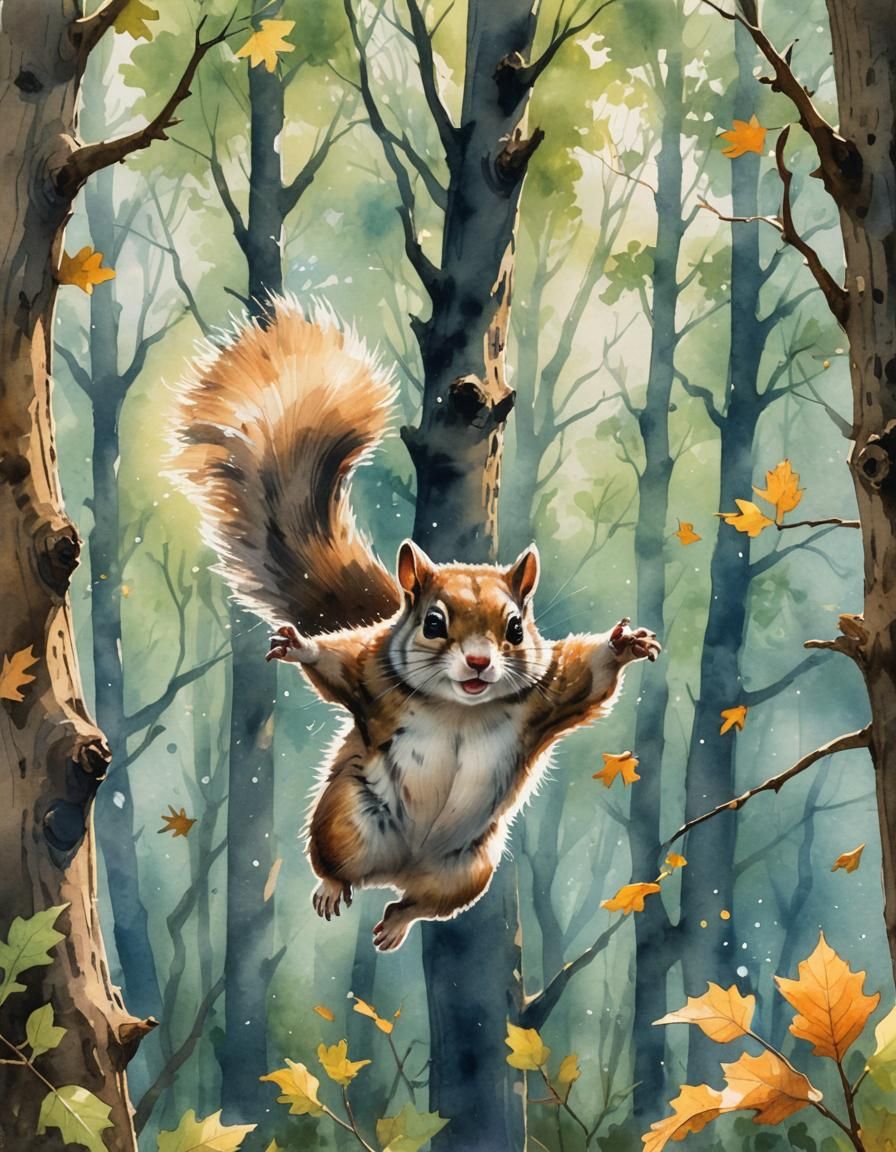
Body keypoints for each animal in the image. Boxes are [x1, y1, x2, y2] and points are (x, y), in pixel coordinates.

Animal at [168, 296, 661, 952]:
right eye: (432, 623)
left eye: (515, 630)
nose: (478, 662)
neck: (459, 708)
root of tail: (400, 865)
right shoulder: (373, 678)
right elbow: (338, 664)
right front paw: (301, 647)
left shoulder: (547, 696)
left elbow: (591, 678)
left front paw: (624, 643)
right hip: (343, 817)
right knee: (335, 862)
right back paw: (332, 889)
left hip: (468, 868)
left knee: (422, 903)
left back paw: (396, 922)